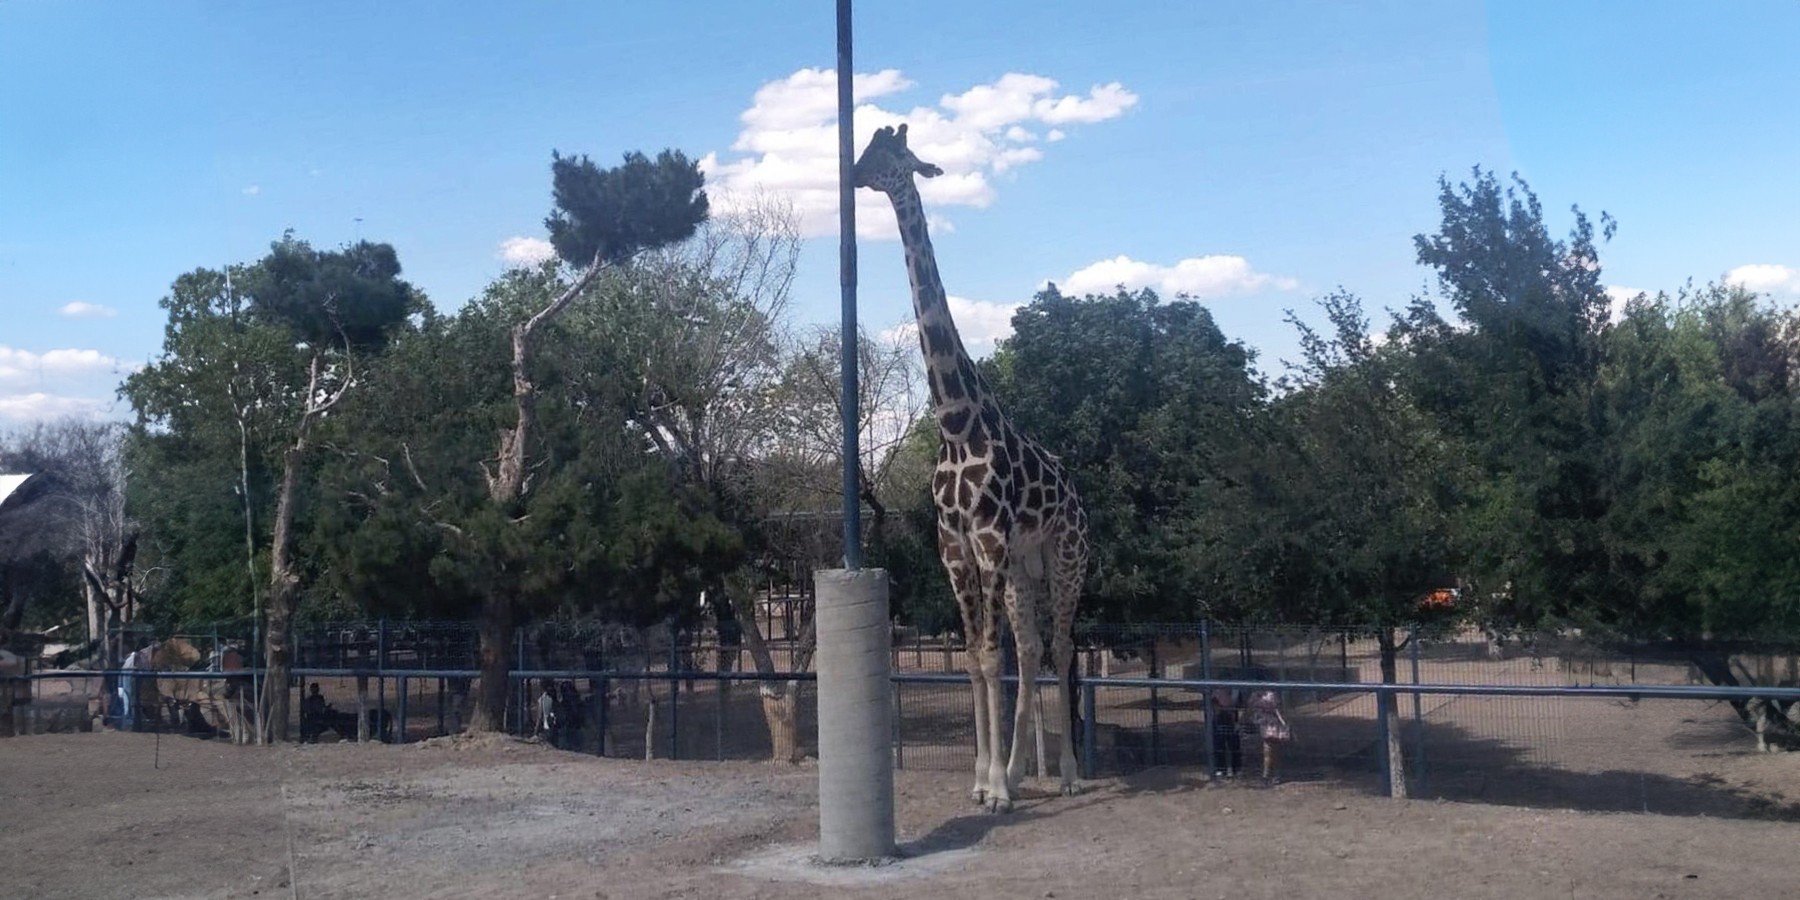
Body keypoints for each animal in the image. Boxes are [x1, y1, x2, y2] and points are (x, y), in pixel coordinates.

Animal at [854, 124, 1089, 812]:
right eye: (868, 146)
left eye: (888, 152)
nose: (852, 175)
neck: (956, 423)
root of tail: (1078, 496)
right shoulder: (954, 545)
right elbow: (974, 659)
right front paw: (986, 781)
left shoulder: (987, 540)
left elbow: (988, 655)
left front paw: (996, 789)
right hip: (1024, 565)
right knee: (1031, 647)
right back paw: (1024, 769)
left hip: (1066, 556)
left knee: (1061, 644)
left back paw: (1067, 773)